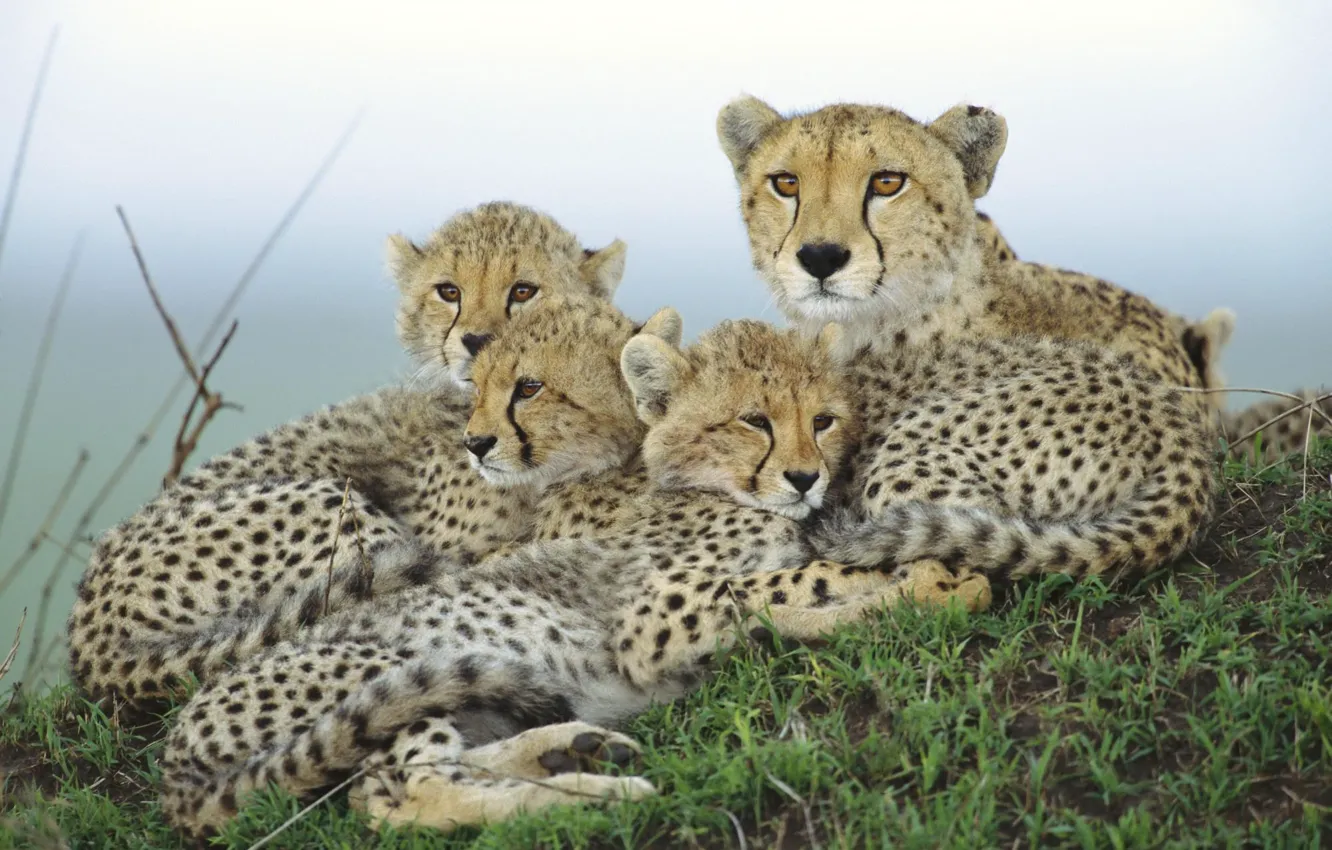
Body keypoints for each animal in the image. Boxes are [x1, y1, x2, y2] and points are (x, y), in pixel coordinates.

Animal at [157, 301, 991, 839]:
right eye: (754, 420)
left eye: (823, 419)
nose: (806, 478)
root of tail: (176, 745)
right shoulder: (653, 621)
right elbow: (788, 583)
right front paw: (928, 582)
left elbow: (787, 593)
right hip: (390, 669)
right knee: (409, 796)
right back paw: (599, 797)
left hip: (462, 696)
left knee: (415, 779)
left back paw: (572, 750)